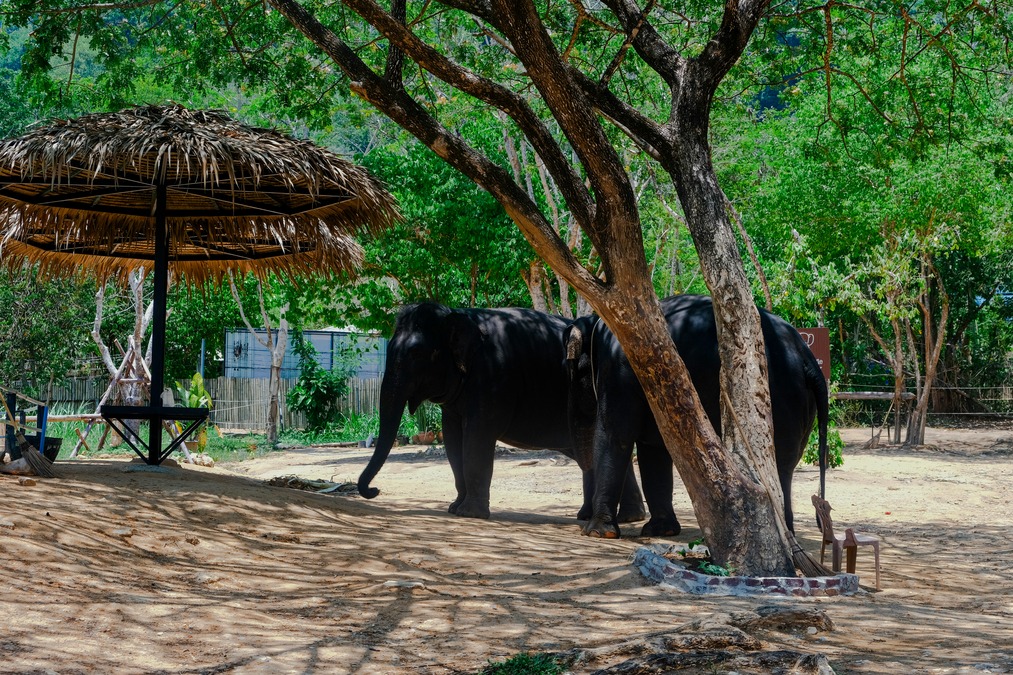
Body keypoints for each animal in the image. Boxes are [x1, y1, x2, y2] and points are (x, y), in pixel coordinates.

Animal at [356, 300, 648, 518]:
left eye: (416, 353)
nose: (375, 491)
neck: (457, 313)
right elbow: (452, 440)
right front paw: (454, 508)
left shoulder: (493, 378)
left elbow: (476, 438)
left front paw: (469, 514)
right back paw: (616, 517)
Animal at [567, 293, 826, 535]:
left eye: (576, 369)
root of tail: (807, 356)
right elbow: (653, 448)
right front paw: (662, 531)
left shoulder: (617, 369)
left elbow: (614, 435)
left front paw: (598, 533)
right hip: (800, 403)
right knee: (787, 462)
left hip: (780, 395)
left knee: (778, 459)